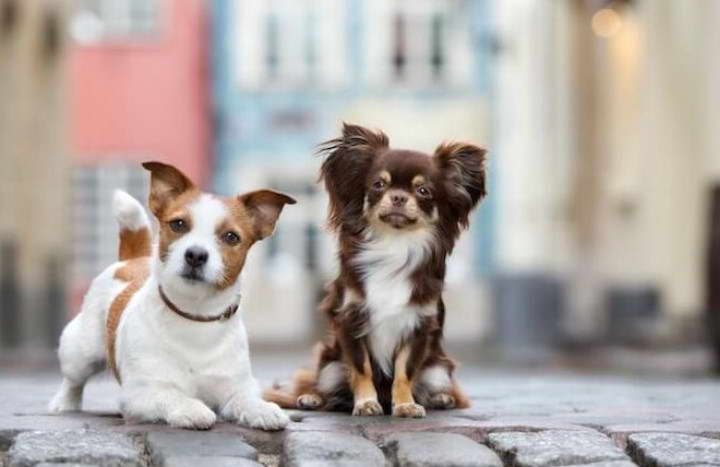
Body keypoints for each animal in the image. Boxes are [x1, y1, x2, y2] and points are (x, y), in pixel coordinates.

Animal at [50, 162, 296, 432]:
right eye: (178, 224)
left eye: (231, 237)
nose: (196, 255)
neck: (195, 315)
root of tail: (133, 259)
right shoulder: (140, 393)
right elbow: (172, 395)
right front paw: (192, 408)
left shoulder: (235, 386)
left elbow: (245, 398)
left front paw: (263, 409)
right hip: (80, 352)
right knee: (73, 380)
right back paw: (64, 403)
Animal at [268, 123, 486, 416]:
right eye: (378, 185)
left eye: (423, 191)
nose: (398, 197)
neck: (395, 243)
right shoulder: (350, 319)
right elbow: (362, 369)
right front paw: (367, 403)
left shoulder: (417, 326)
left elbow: (405, 372)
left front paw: (405, 405)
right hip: (331, 365)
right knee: (325, 388)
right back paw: (313, 398)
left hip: (438, 369)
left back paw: (441, 398)